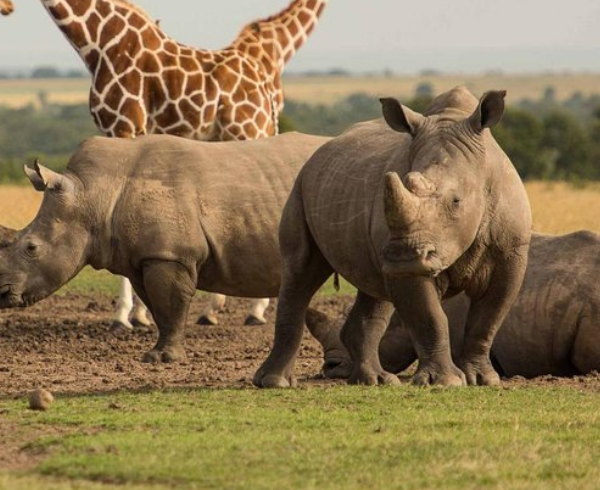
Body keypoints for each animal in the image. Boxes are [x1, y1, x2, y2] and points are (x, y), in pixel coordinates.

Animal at [10, 0, 328, 330]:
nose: (7, 9)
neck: (101, 42)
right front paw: (138, 314)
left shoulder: (124, 124)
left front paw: (126, 316)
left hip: (248, 129)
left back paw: (251, 310)